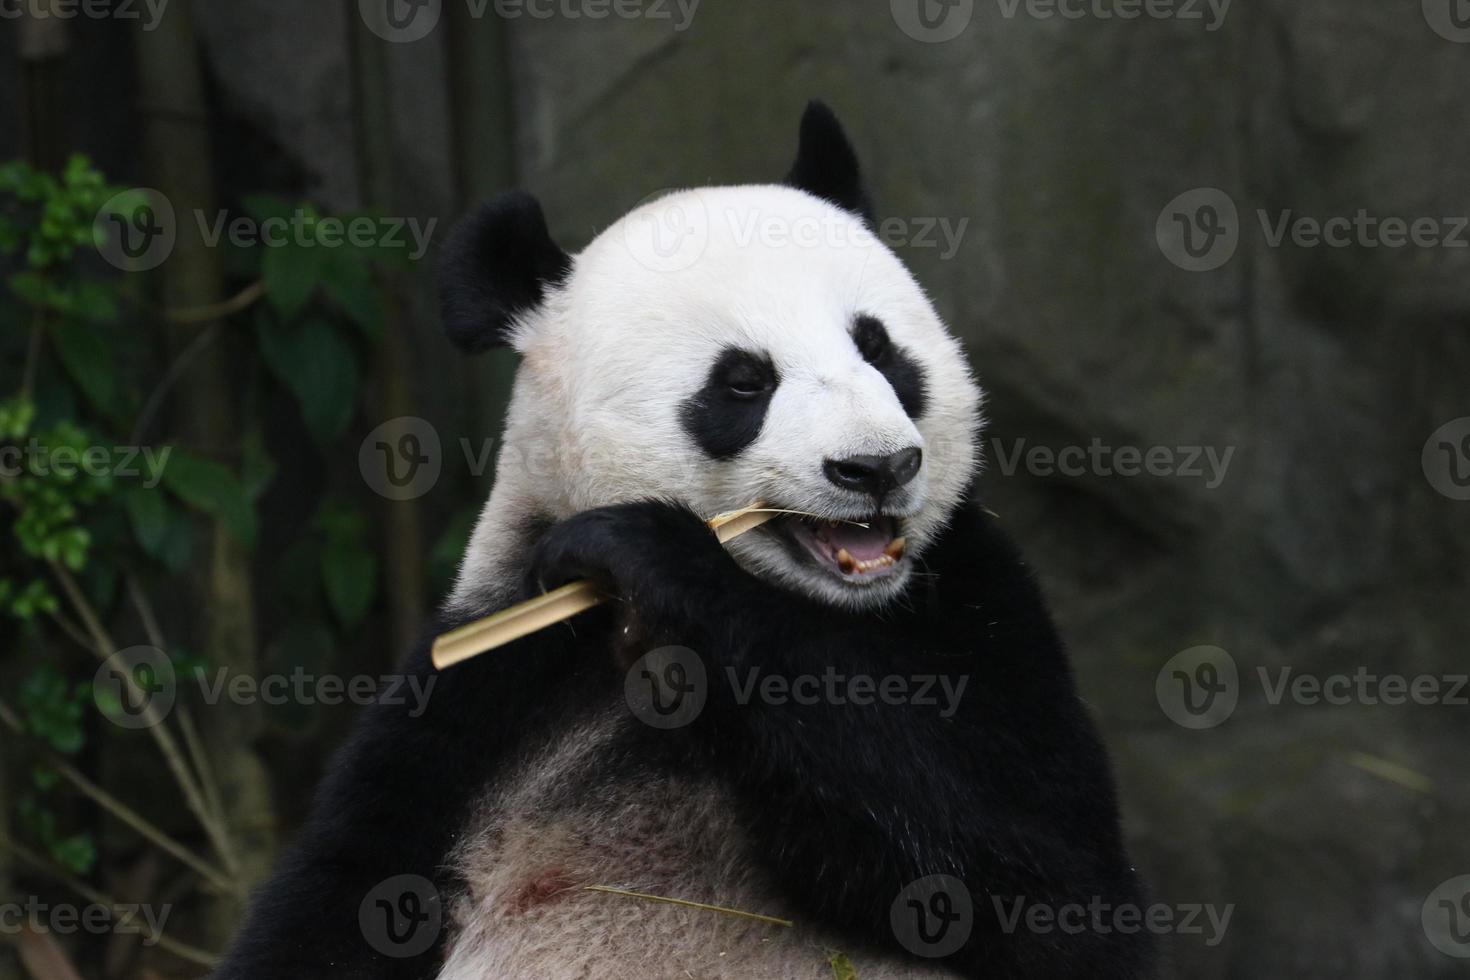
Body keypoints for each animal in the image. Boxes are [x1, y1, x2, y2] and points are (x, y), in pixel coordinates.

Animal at [214, 103, 1158, 975]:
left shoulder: (976, 603)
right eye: (742, 383)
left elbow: (1049, 883)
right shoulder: (487, 680)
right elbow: (348, 888)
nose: (877, 466)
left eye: (881, 349)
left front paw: (653, 551)